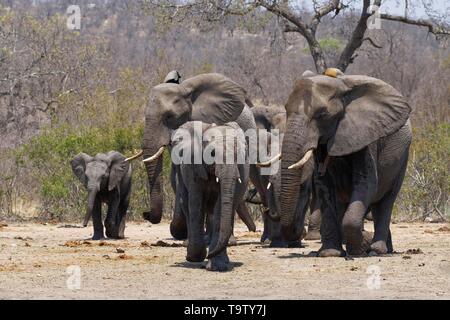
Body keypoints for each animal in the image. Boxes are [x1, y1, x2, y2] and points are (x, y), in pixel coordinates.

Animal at [280, 69, 414, 256]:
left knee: (386, 201)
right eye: (286, 109)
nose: (298, 233)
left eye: (322, 114)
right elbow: (324, 186)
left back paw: (377, 250)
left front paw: (359, 249)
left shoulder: (365, 136)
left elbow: (367, 183)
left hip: (402, 159)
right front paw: (330, 253)